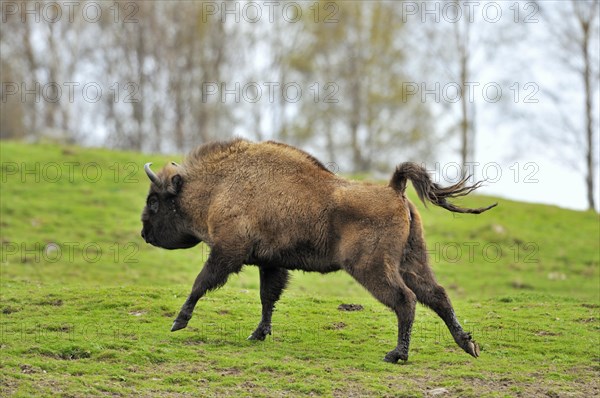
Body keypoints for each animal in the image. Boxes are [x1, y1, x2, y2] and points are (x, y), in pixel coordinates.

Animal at [142, 138, 496, 362]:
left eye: (154, 200)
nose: (144, 233)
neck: (219, 186)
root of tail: (394, 188)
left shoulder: (227, 253)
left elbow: (201, 283)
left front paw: (178, 322)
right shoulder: (270, 263)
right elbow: (267, 298)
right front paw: (258, 334)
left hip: (372, 268)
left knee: (405, 300)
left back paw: (396, 355)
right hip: (412, 262)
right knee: (437, 296)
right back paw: (468, 345)